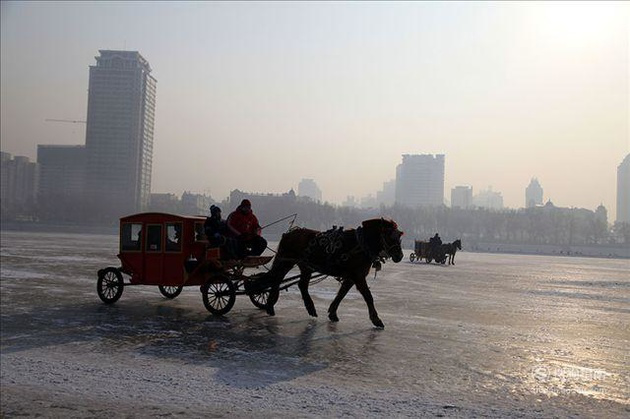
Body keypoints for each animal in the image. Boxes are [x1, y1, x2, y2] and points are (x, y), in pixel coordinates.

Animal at [262, 218, 404, 330]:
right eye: (389, 235)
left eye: (399, 236)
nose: (400, 255)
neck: (361, 245)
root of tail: (289, 233)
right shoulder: (358, 276)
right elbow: (368, 296)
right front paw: (376, 319)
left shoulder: (351, 277)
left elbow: (341, 294)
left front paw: (332, 313)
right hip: (287, 261)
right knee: (277, 279)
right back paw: (270, 306)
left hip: (305, 265)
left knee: (301, 284)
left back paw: (309, 308)